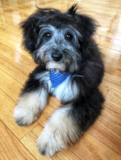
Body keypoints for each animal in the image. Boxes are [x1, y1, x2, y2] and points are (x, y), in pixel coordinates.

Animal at [13, 4, 104, 156]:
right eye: (47, 35)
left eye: (69, 36)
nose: (56, 56)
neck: (60, 72)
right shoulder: (39, 76)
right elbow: (32, 95)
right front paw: (24, 113)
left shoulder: (87, 96)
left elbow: (64, 118)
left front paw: (48, 141)